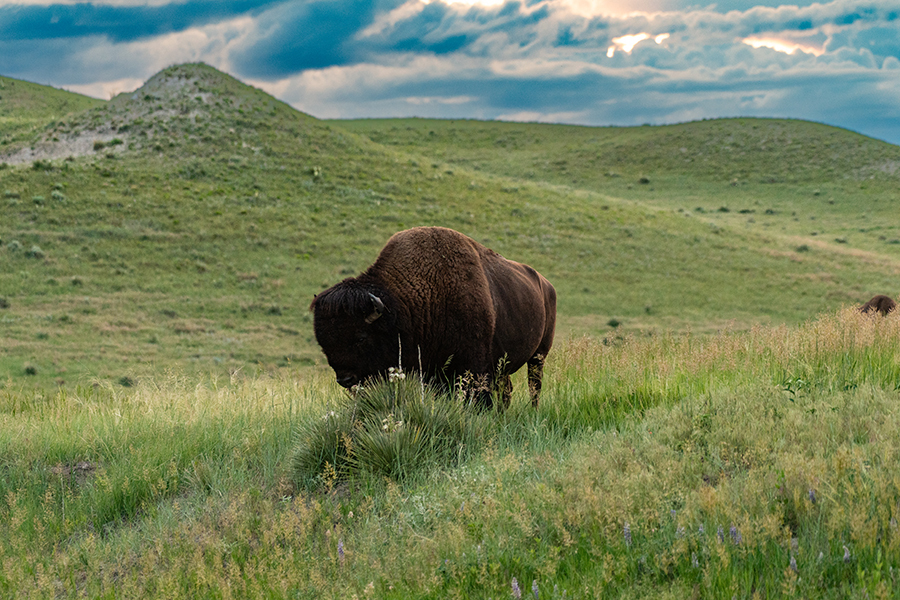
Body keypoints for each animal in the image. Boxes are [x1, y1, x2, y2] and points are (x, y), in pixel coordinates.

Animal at [312, 227, 560, 410]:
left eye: (361, 337)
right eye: (323, 344)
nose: (345, 380)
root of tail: (547, 285)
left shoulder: (475, 368)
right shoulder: (434, 373)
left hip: (539, 356)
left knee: (534, 386)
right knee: (507, 389)